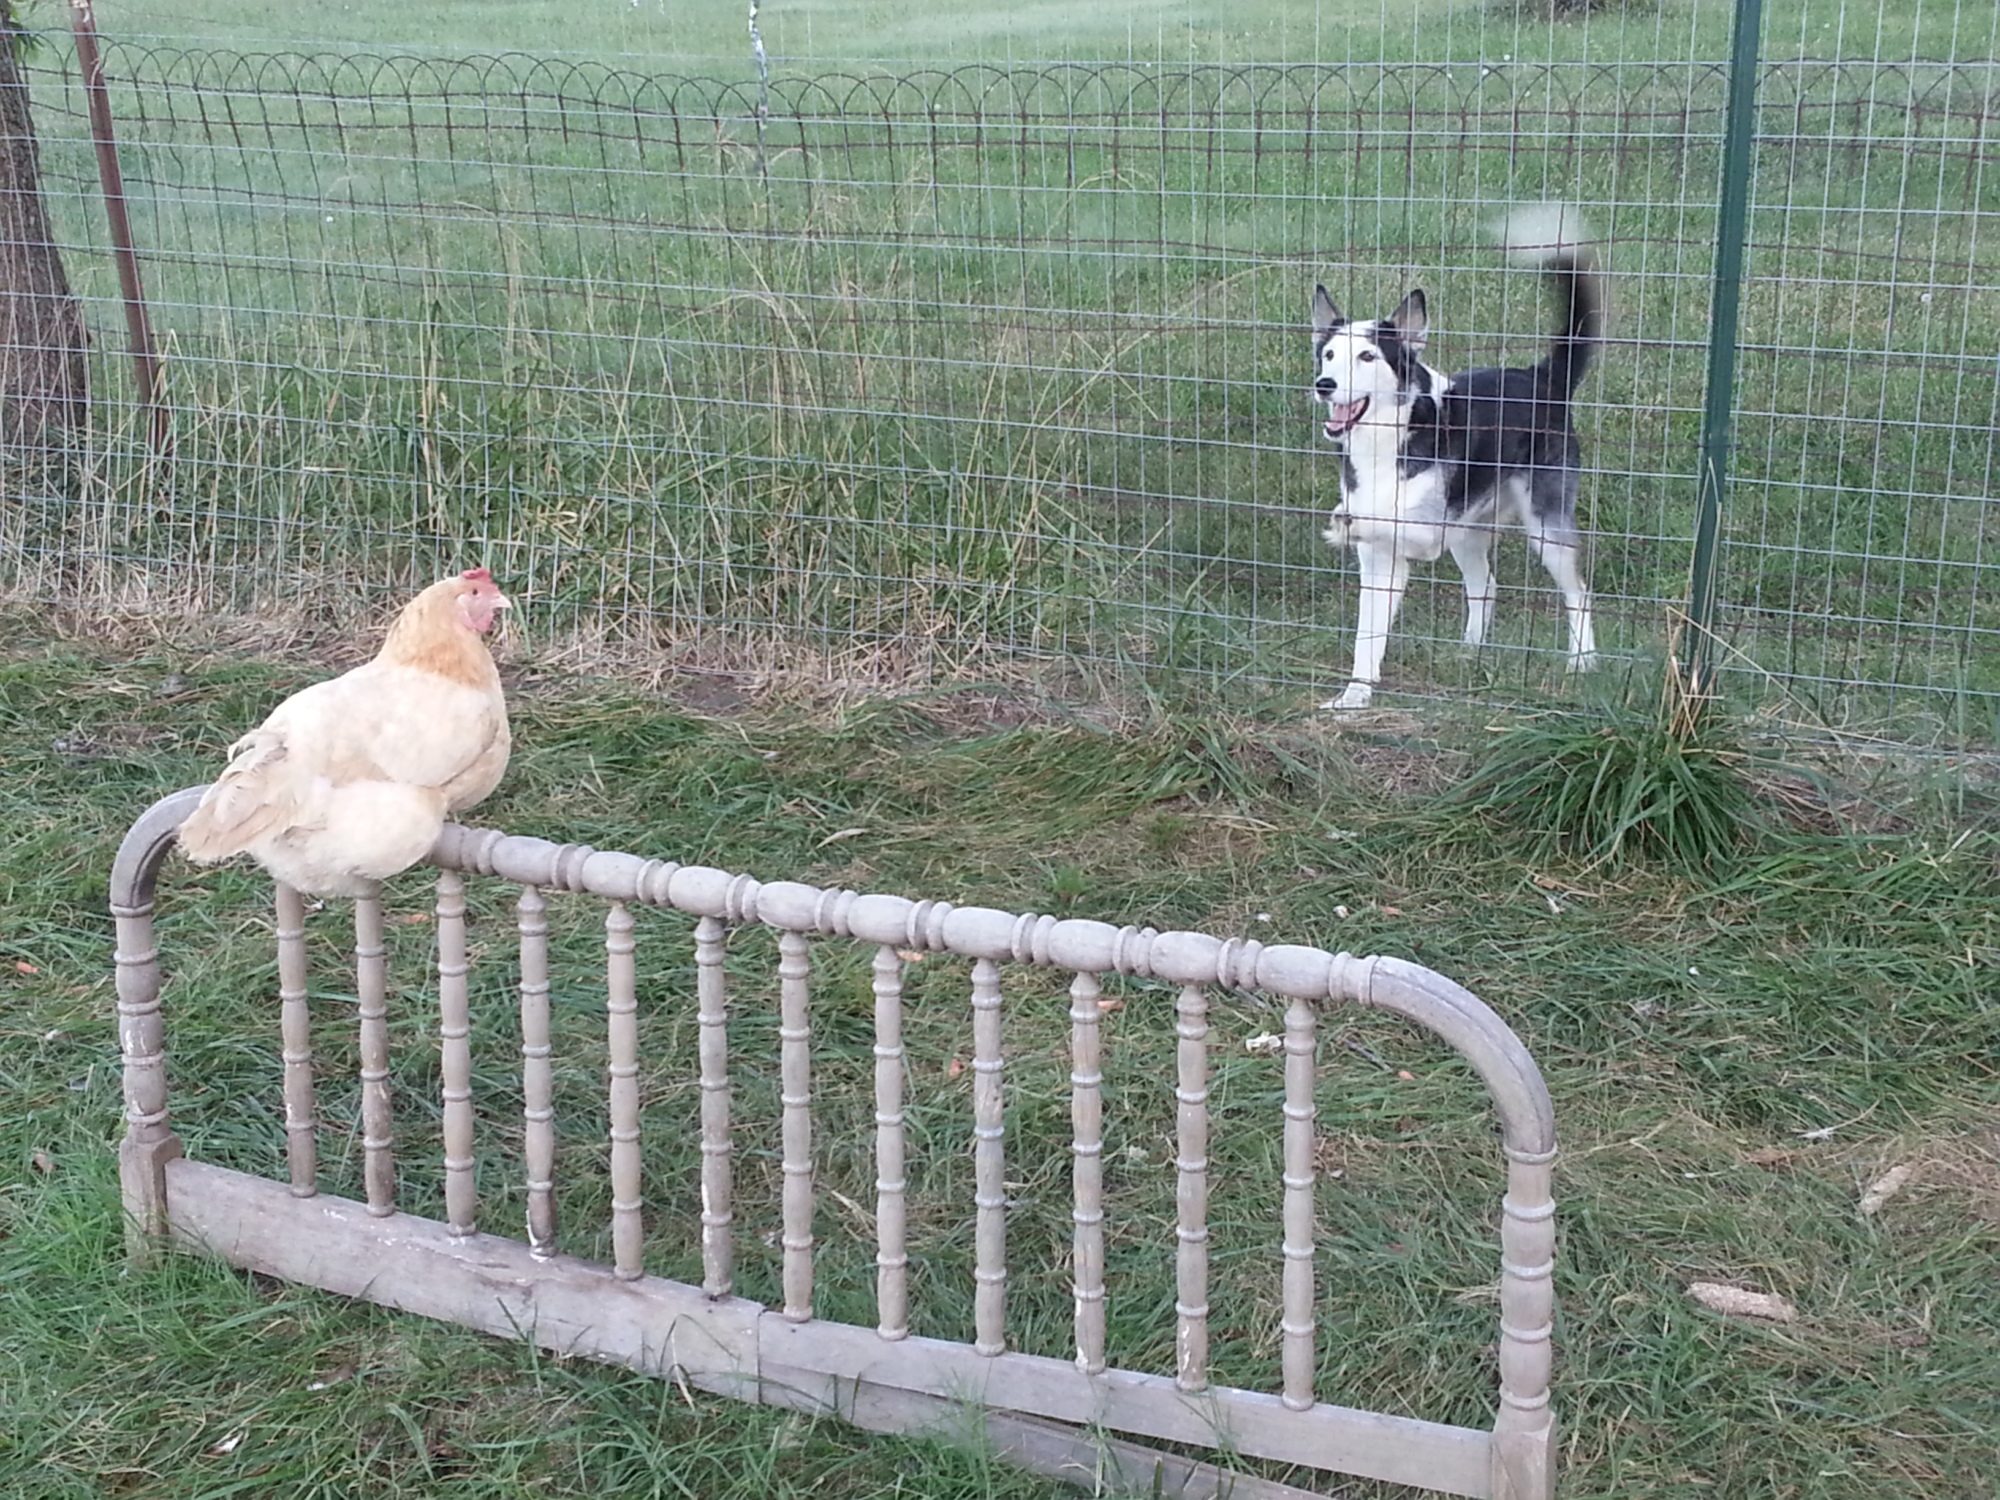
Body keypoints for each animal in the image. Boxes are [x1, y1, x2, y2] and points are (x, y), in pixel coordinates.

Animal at [1311, 204, 1603, 711]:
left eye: (1368, 356)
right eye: (1328, 355)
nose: (1323, 385)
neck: (1387, 440)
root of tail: (1542, 378)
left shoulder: (1430, 535)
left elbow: (1379, 521)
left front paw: (1342, 523)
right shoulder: (1379, 563)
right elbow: (1367, 638)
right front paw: (1355, 695)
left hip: (1545, 526)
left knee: (1578, 592)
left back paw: (1583, 661)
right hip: (1471, 531)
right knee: (1485, 587)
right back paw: (1470, 653)